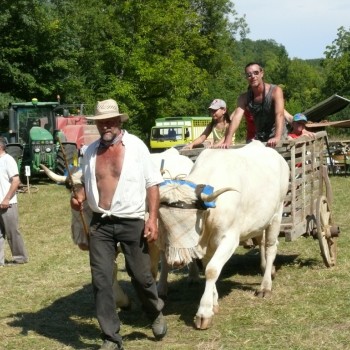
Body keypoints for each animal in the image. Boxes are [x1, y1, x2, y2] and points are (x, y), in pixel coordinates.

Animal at [157, 141, 288, 330]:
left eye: (189, 222)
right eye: (161, 219)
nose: (176, 261)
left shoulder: (229, 239)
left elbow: (212, 270)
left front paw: (204, 312)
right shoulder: (205, 245)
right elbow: (208, 267)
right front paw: (214, 302)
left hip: (277, 214)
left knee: (271, 247)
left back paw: (265, 286)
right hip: (260, 220)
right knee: (262, 242)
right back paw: (266, 269)